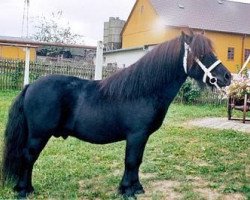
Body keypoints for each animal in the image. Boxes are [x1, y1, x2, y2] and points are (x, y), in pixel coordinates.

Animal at [1, 31, 230, 198]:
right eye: (201, 55)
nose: (227, 77)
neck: (144, 91)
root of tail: (30, 86)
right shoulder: (136, 135)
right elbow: (131, 161)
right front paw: (127, 190)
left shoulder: (141, 137)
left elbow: (137, 161)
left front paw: (136, 187)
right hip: (38, 135)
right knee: (28, 157)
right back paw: (24, 190)